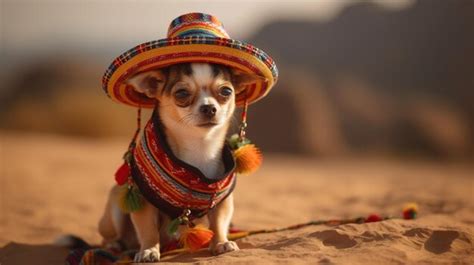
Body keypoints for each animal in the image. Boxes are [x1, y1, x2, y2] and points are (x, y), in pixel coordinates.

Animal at [98, 62, 264, 262]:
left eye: (226, 91)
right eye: (182, 93)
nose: (209, 107)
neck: (199, 147)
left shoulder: (223, 201)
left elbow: (218, 223)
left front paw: (220, 243)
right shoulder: (141, 200)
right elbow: (148, 230)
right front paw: (149, 250)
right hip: (116, 203)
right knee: (109, 237)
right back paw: (115, 245)